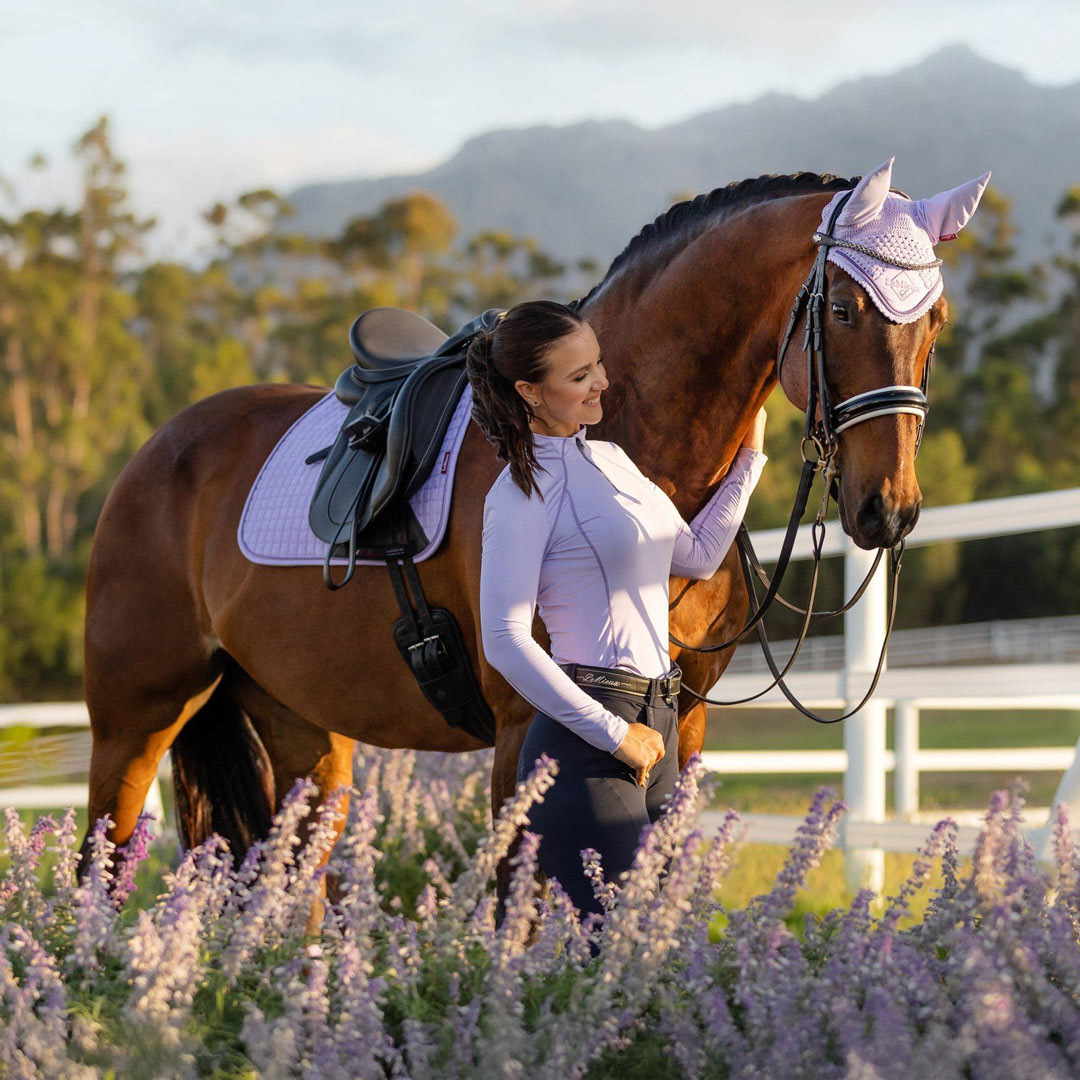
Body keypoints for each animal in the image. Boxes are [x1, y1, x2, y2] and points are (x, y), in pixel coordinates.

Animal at [79, 159, 984, 920]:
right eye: (843, 309)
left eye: (936, 321)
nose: (890, 509)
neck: (627, 448)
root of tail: (156, 453)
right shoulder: (528, 728)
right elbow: (525, 910)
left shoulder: (682, 722)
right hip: (135, 720)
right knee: (102, 863)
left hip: (302, 729)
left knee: (291, 886)